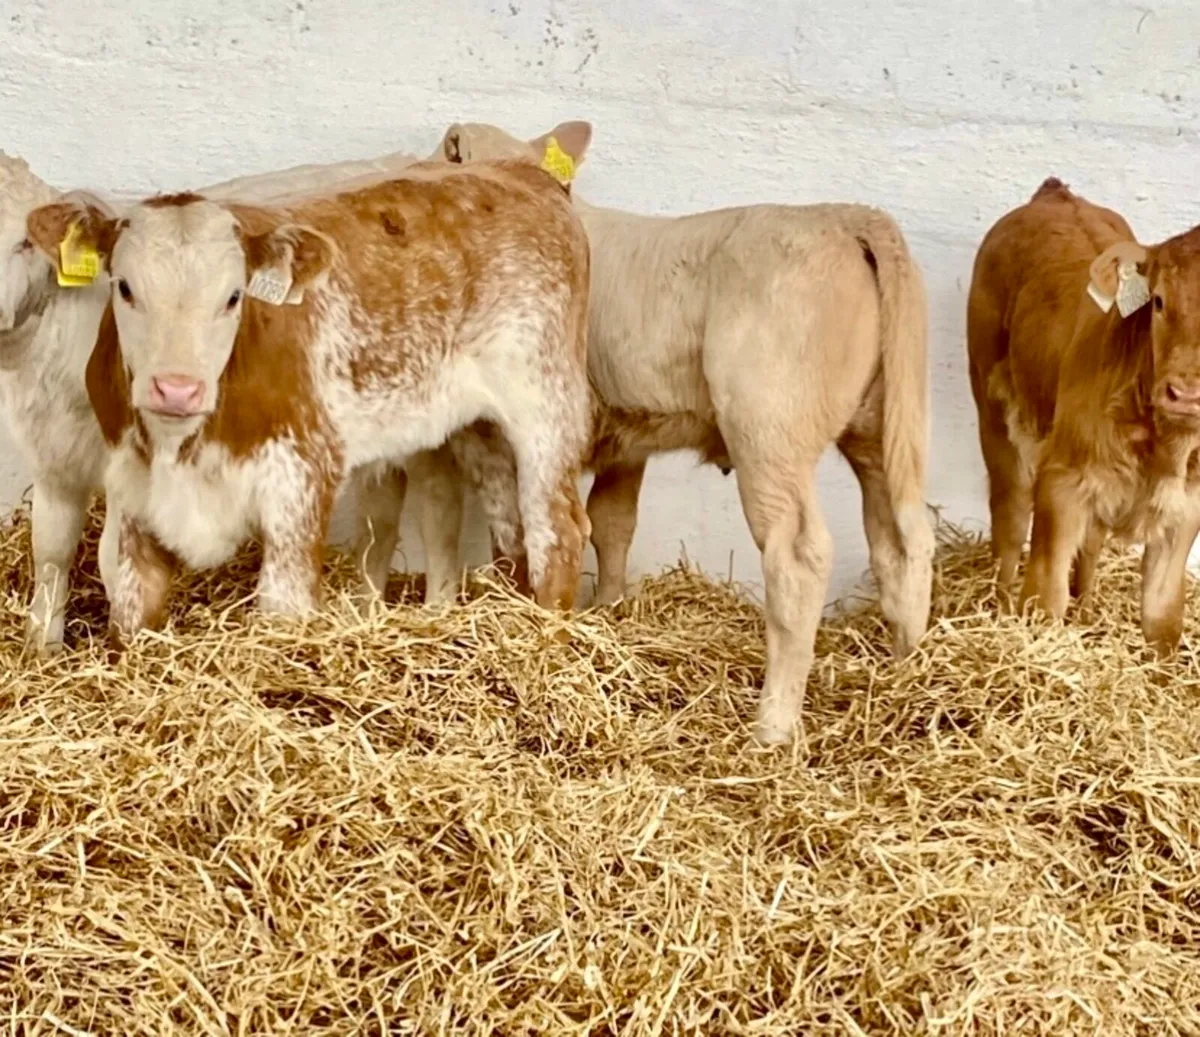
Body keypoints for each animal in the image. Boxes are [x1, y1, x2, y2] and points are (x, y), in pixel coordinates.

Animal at [24, 156, 592, 645]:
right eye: (124, 287)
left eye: (233, 297)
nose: (177, 388)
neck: (183, 448)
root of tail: (522, 172)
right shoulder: (131, 488)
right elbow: (132, 605)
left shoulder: (300, 476)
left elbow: (283, 606)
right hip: (473, 424)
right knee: (505, 521)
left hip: (547, 403)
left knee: (556, 530)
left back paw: (547, 639)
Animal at [360, 119, 935, 747]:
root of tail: (848, 216)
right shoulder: (625, 435)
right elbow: (611, 524)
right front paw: (608, 615)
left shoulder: (492, 430)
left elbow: (491, 524)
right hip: (879, 426)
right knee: (903, 538)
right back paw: (908, 669)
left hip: (768, 426)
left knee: (799, 555)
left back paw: (773, 724)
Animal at [968, 176, 1200, 654]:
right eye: (1159, 302)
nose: (1185, 393)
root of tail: (1056, 194)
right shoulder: (1062, 483)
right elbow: (1045, 599)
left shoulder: (1186, 507)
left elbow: (1163, 618)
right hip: (992, 410)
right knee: (1009, 515)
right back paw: (999, 606)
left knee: (1090, 545)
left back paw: (1089, 610)